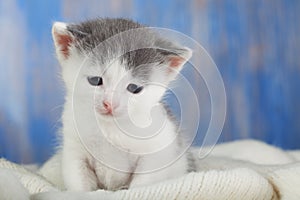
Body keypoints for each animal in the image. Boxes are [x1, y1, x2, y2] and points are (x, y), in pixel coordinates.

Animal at [52, 18, 193, 191]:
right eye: (95, 80)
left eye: (134, 88)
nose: (110, 103)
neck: (110, 128)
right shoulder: (74, 149)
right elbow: (78, 181)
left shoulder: (158, 150)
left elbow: (142, 183)